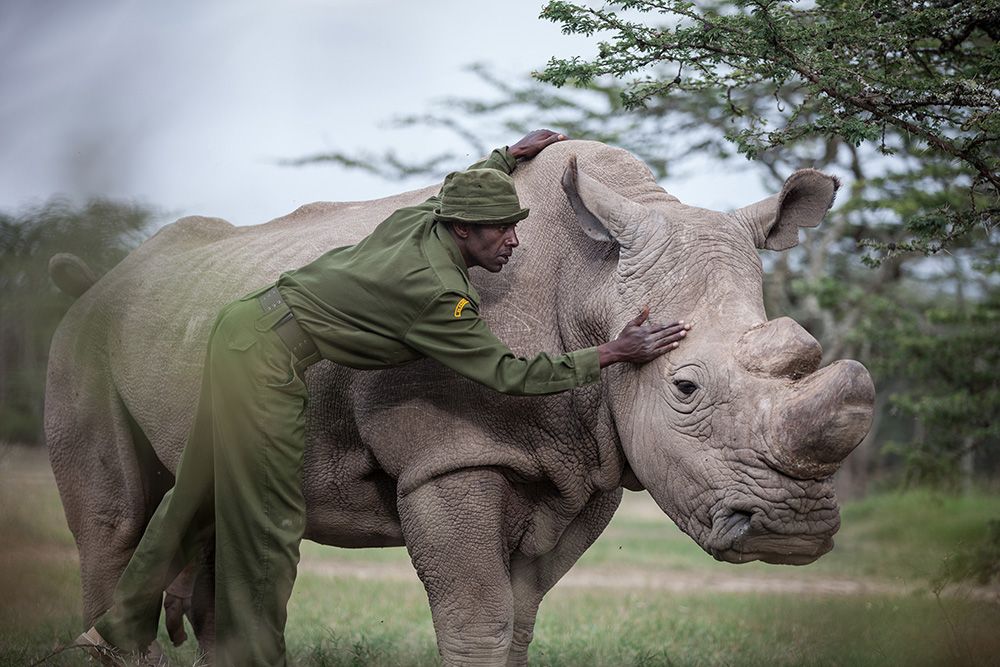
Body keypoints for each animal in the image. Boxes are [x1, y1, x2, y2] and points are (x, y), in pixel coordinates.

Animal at [47, 138, 872, 664]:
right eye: (686, 387)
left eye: (805, 351)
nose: (794, 529)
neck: (593, 279)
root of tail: (99, 280)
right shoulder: (450, 454)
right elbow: (478, 614)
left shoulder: (586, 463)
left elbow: (519, 617)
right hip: (89, 337)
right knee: (117, 516)